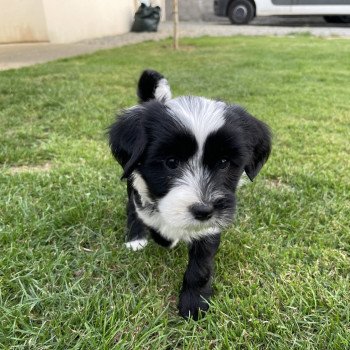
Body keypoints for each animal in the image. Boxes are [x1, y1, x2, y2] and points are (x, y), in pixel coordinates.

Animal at [108, 69, 272, 320]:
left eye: (223, 163)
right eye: (171, 162)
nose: (203, 210)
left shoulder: (212, 222)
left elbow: (201, 266)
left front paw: (194, 303)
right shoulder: (142, 190)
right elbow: (153, 220)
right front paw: (165, 236)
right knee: (132, 209)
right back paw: (136, 238)